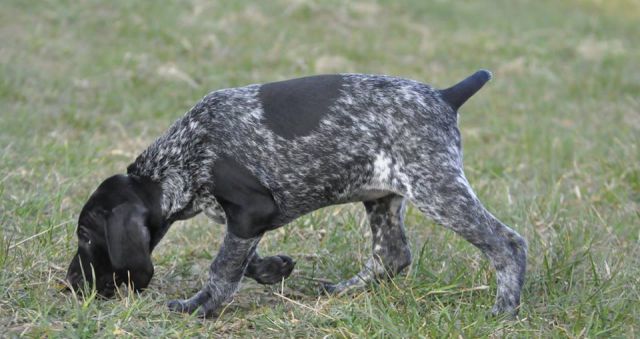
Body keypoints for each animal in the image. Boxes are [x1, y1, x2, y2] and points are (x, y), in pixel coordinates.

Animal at [65, 69, 528, 318]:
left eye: (86, 237)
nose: (70, 283)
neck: (179, 159)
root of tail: (445, 96)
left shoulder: (251, 210)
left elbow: (223, 268)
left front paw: (201, 307)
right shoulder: (249, 220)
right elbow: (243, 259)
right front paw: (274, 269)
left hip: (436, 189)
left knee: (507, 243)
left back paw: (504, 310)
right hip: (380, 195)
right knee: (392, 255)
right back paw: (340, 291)